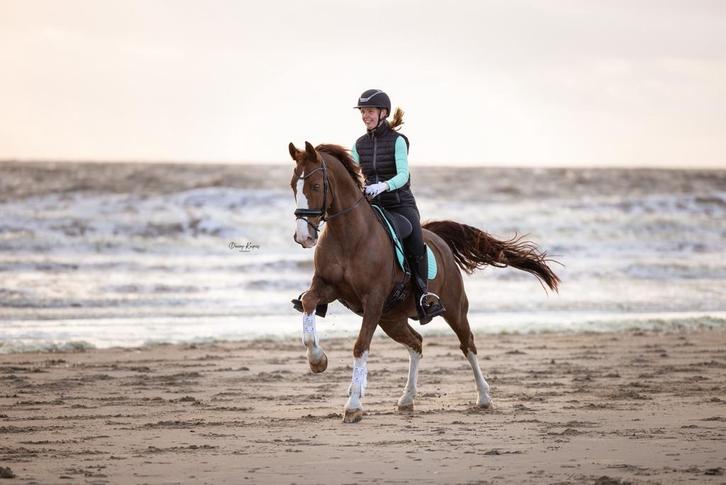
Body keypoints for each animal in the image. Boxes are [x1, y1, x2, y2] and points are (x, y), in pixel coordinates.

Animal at [289, 141, 560, 423]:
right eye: (292, 185)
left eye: (315, 186)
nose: (303, 237)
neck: (348, 235)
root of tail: (437, 238)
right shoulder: (327, 288)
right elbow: (308, 303)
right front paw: (317, 361)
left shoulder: (372, 300)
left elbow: (361, 346)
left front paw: (353, 404)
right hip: (391, 319)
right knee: (416, 342)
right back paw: (407, 399)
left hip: (453, 309)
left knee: (467, 344)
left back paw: (484, 398)